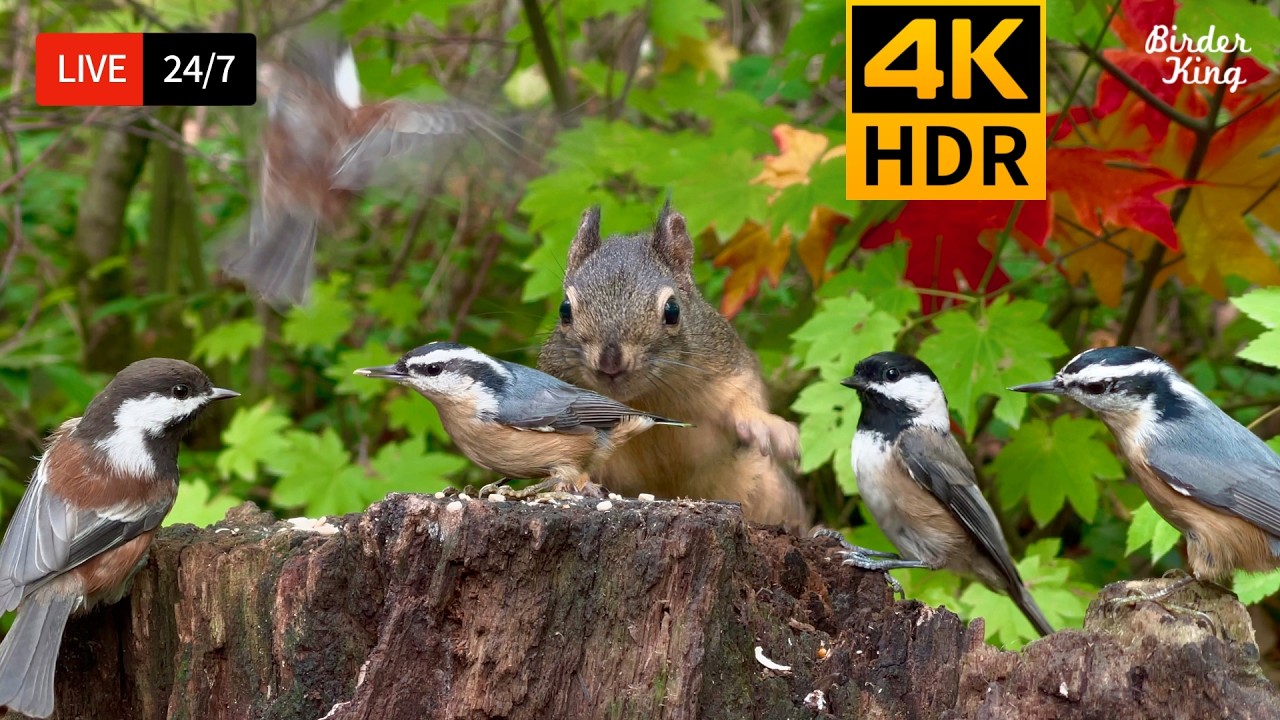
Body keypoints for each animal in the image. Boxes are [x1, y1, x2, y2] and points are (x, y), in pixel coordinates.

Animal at [538, 202, 811, 532]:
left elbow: (743, 396)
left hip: (769, 486)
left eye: (672, 310)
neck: (645, 399)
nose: (610, 363)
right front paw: (576, 480)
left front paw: (768, 426)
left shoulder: (727, 362)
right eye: (565, 310)